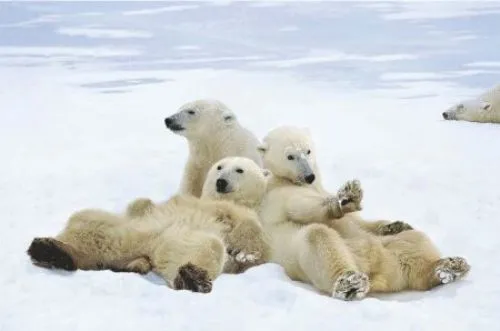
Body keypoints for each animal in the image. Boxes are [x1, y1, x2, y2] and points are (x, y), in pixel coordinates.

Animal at [26, 158, 274, 294]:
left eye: (239, 169)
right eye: (220, 167)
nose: (221, 181)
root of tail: (141, 252)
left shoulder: (237, 213)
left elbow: (251, 233)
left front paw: (245, 254)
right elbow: (142, 205)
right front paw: (142, 203)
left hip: (174, 241)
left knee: (206, 246)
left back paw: (193, 277)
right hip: (123, 231)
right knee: (87, 221)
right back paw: (50, 249)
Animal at [256, 126, 470, 300]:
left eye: (307, 151)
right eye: (290, 156)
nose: (309, 176)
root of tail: (380, 273)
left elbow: (361, 222)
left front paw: (395, 224)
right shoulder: (279, 196)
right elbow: (302, 209)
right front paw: (344, 200)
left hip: (388, 248)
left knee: (415, 241)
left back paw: (449, 267)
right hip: (301, 256)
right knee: (318, 237)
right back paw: (349, 283)